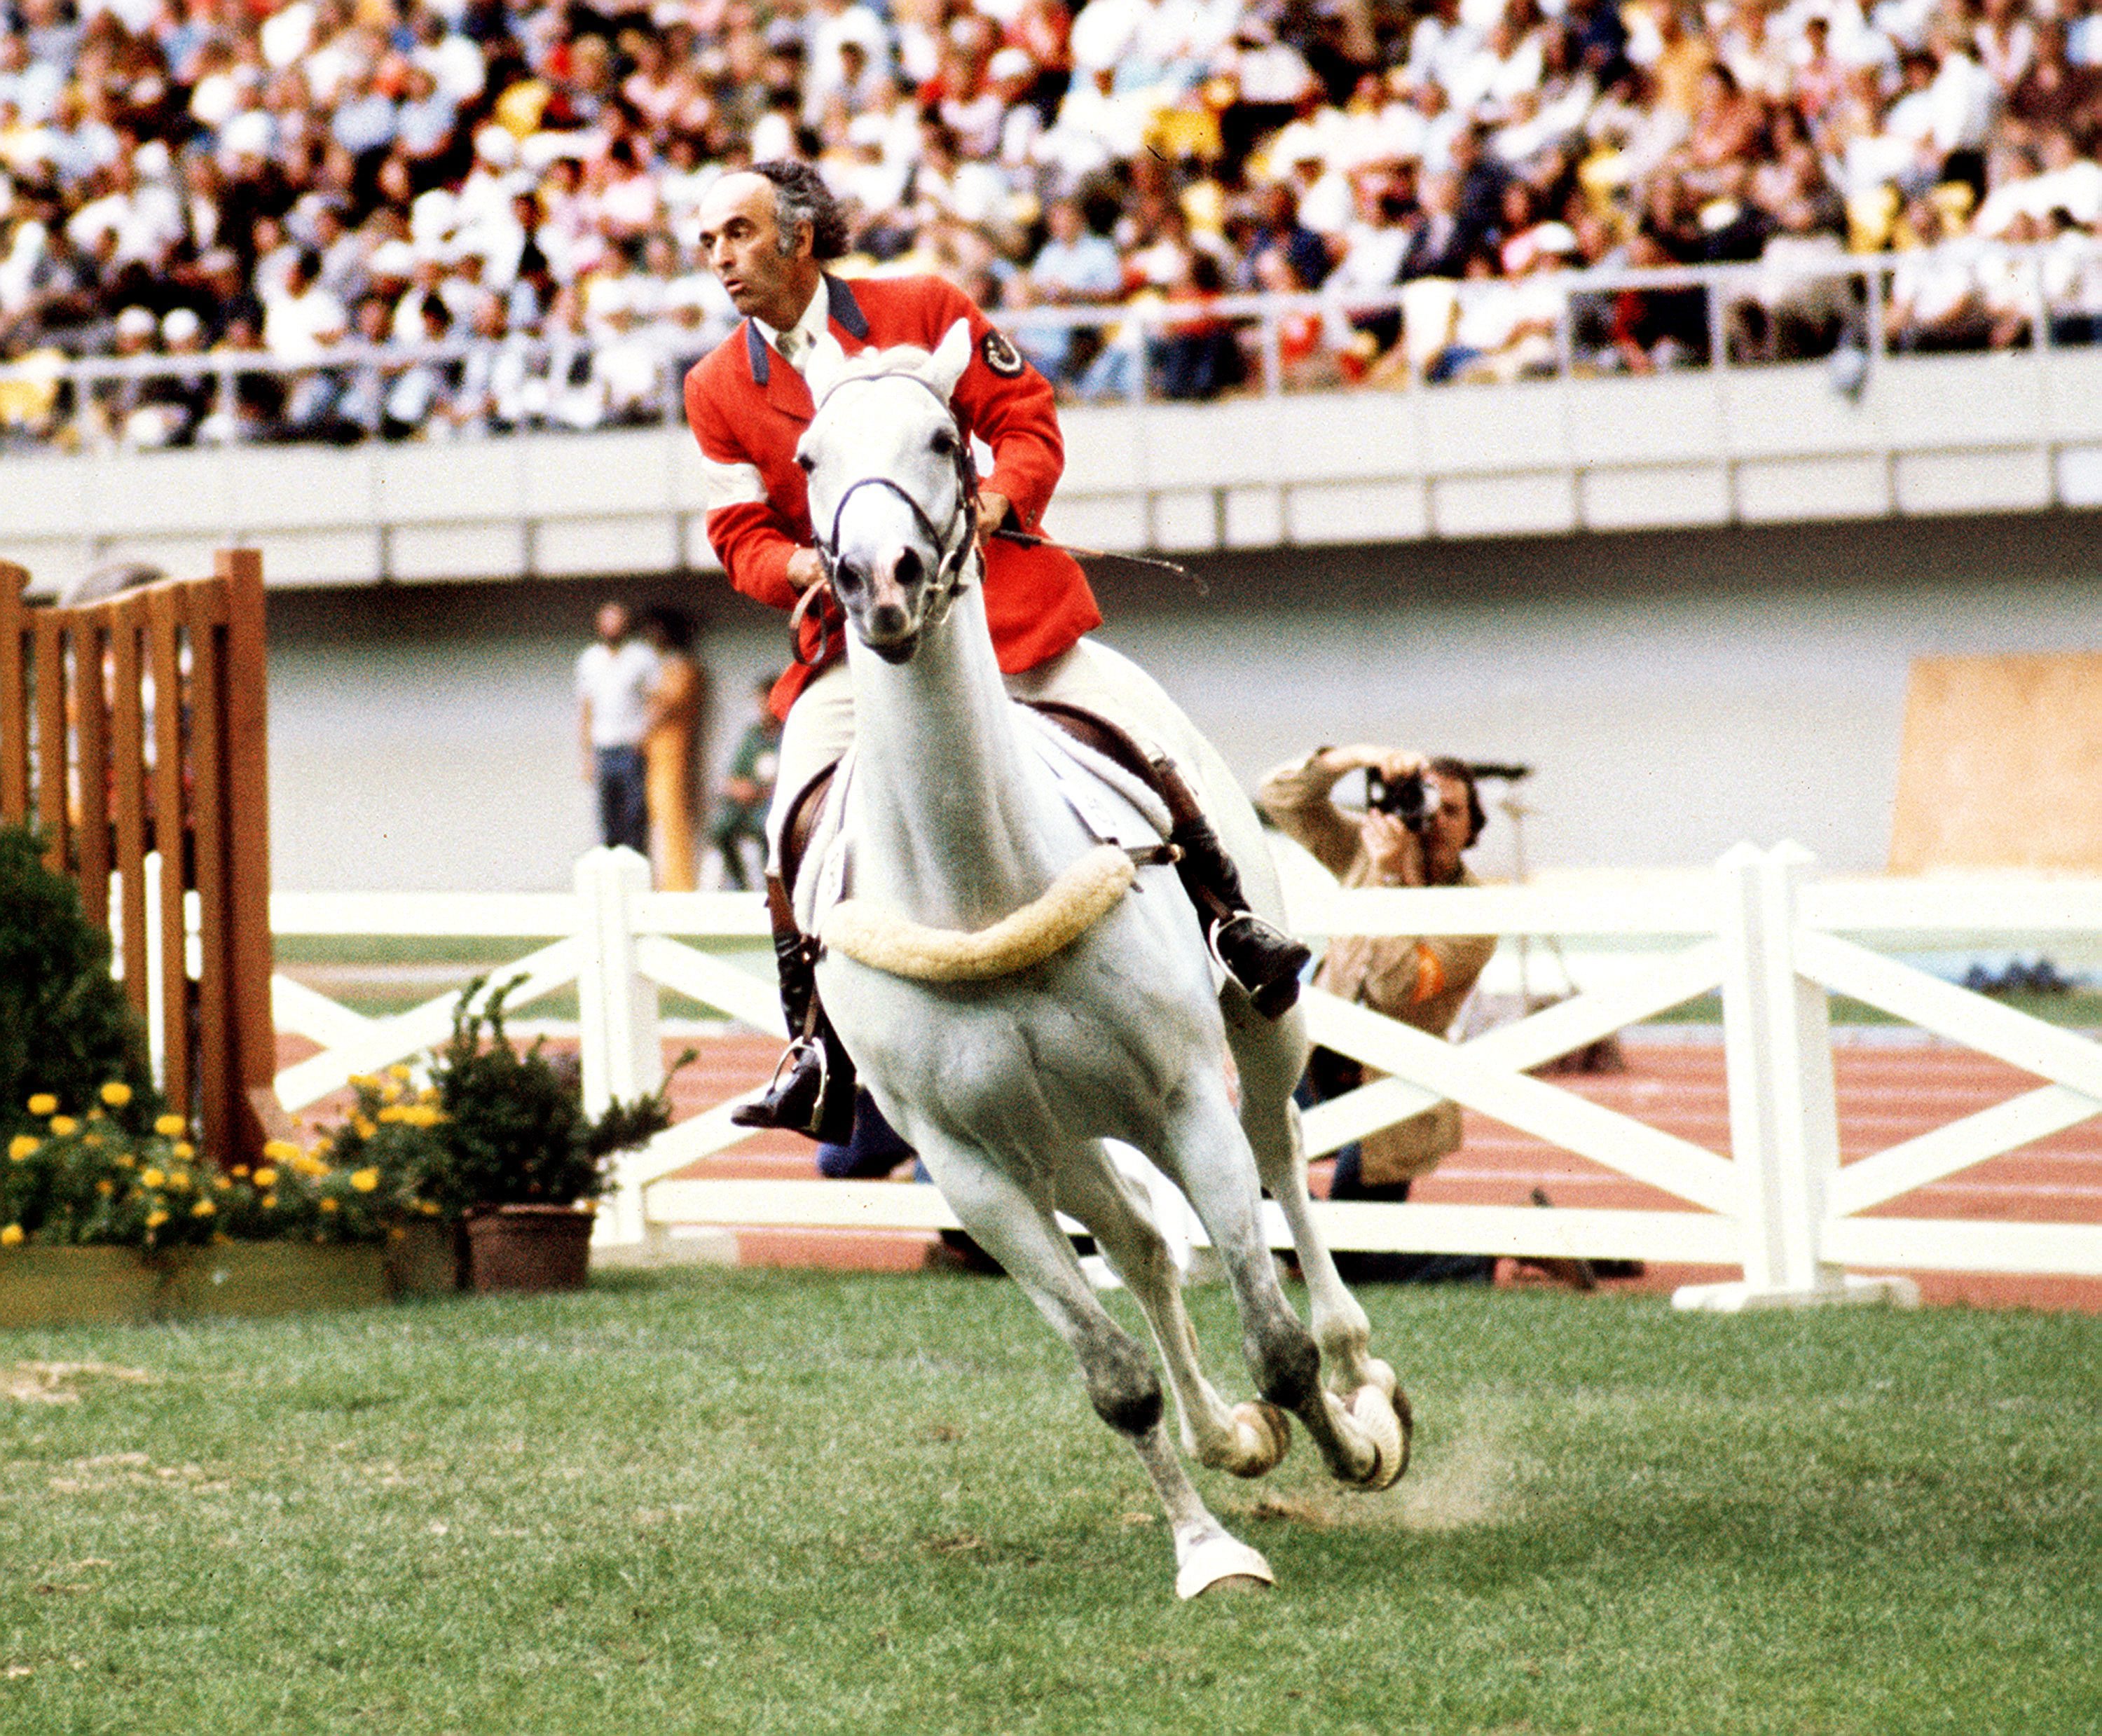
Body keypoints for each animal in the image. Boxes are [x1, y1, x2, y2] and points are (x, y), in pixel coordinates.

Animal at [790, 322, 1413, 1597]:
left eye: (946, 438)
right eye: (810, 456)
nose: (879, 585)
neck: (979, 880)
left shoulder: (1180, 1094)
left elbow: (1274, 1337)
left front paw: (1351, 1439)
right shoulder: (972, 1166)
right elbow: (1115, 1377)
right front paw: (1207, 1547)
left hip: (1253, 1032)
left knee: (1281, 1162)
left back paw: (1358, 1377)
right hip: (1061, 1136)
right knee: (1142, 1243)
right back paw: (1226, 1434)